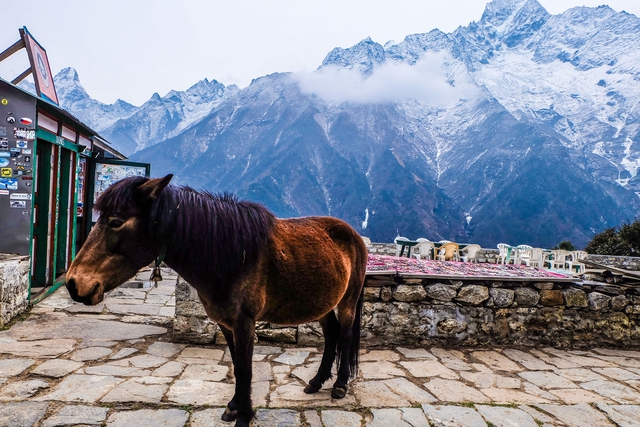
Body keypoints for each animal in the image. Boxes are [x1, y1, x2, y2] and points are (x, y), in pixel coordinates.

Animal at [65, 175, 368, 427]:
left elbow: (245, 369)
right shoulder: (226, 323)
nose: (73, 283)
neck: (232, 255)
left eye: (115, 221)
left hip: (348, 300)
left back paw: (340, 385)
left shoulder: (245, 323)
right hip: (323, 303)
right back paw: (316, 382)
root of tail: (352, 235)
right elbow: (235, 363)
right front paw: (234, 406)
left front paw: (244, 417)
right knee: (331, 335)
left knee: (345, 334)